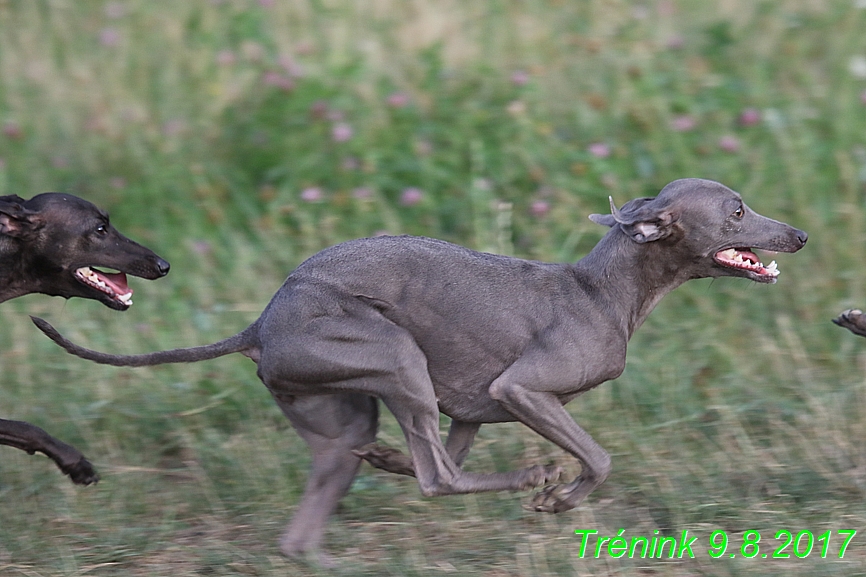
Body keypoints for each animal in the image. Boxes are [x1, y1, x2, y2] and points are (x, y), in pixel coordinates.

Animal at [32, 179, 804, 560]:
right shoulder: (521, 388)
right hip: (396, 356)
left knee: (329, 507)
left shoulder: (470, 406)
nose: (797, 234)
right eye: (738, 211)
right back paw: (529, 475)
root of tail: (262, 322)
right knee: (440, 480)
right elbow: (599, 456)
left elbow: (444, 447)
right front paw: (557, 496)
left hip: (349, 409)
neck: (603, 289)